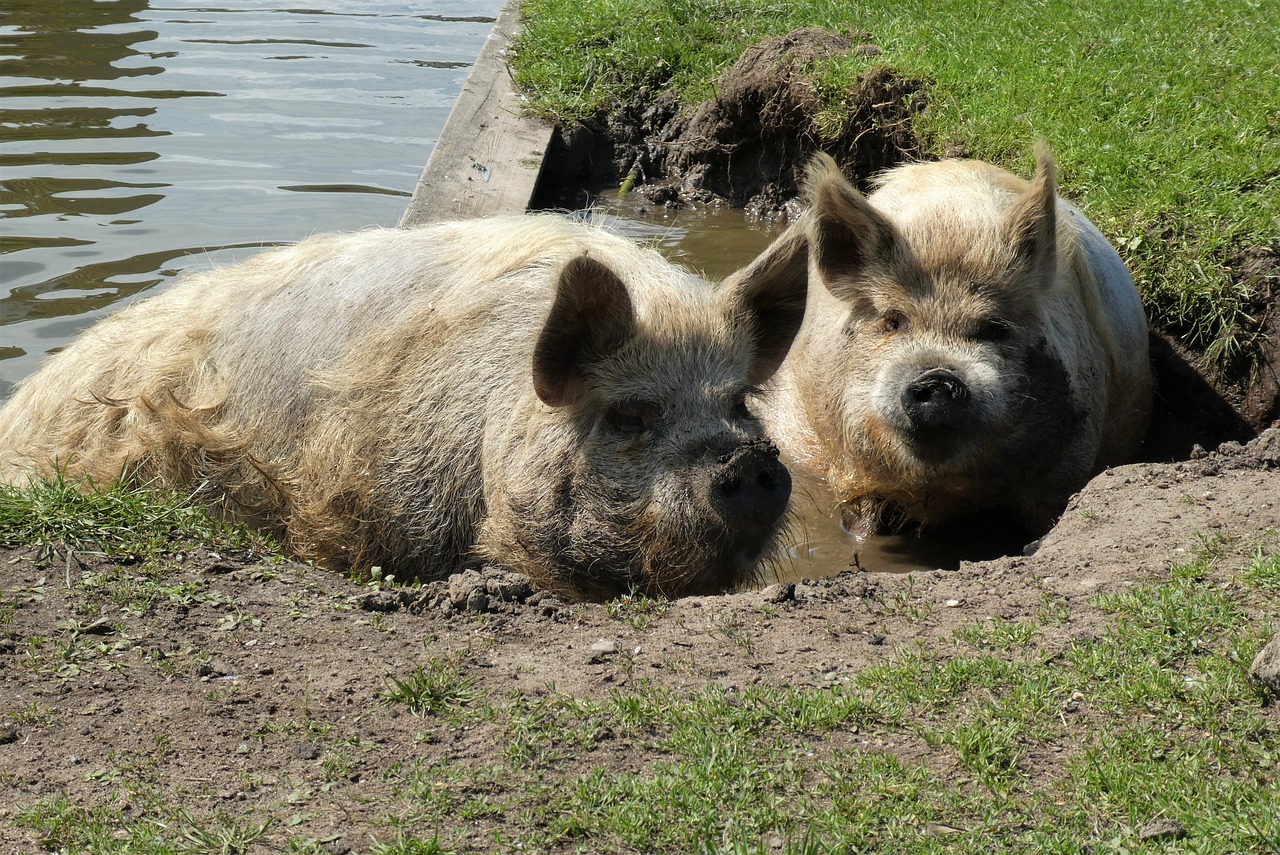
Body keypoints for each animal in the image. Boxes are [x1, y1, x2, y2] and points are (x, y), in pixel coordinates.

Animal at [752, 147, 1157, 535]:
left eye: (994, 327)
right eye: (893, 321)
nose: (936, 377)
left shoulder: (1071, 455)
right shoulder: (850, 469)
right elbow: (860, 522)